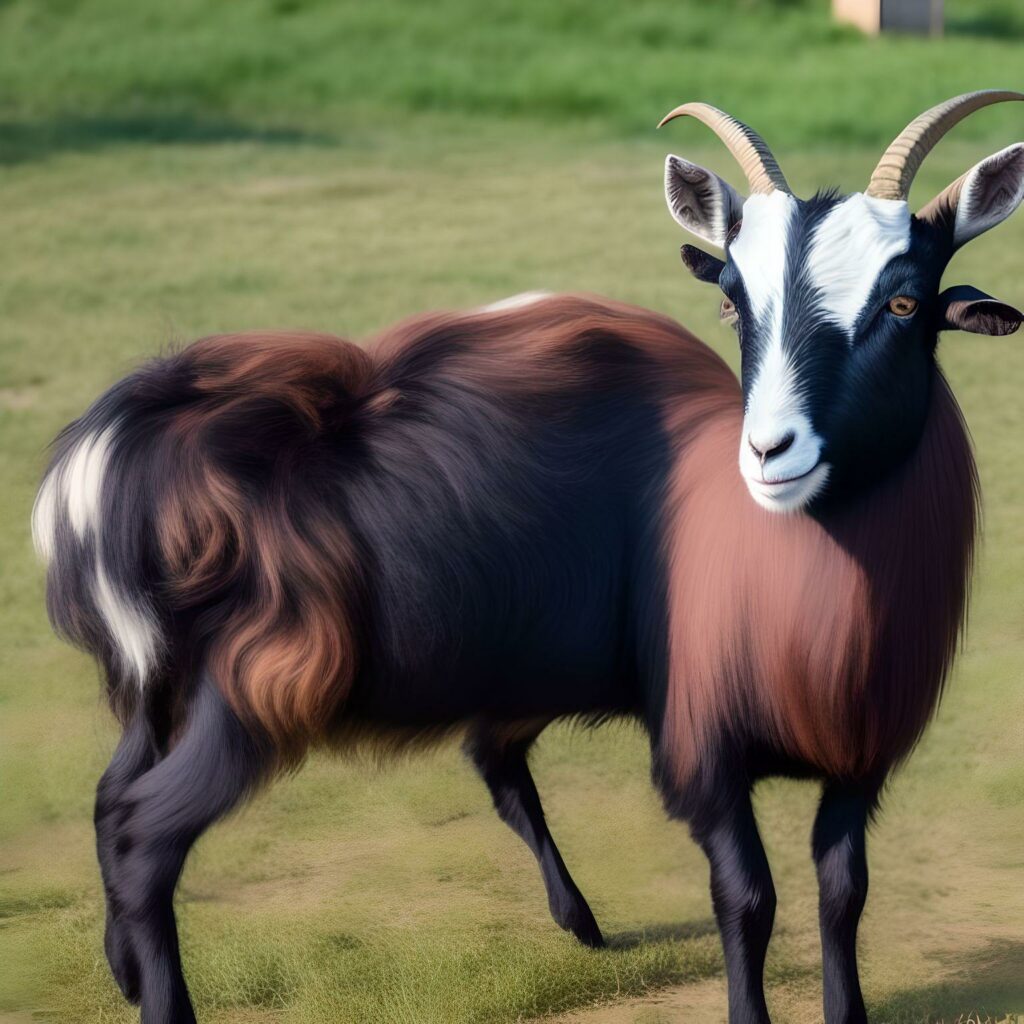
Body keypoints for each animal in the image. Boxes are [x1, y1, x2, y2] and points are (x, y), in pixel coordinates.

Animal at [33, 91, 1023, 1024]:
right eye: (733, 302)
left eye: (904, 301)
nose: (770, 453)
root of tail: (134, 449)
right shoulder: (701, 753)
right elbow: (747, 897)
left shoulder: (860, 757)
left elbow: (842, 892)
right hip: (252, 695)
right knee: (144, 833)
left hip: (172, 683)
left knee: (114, 797)